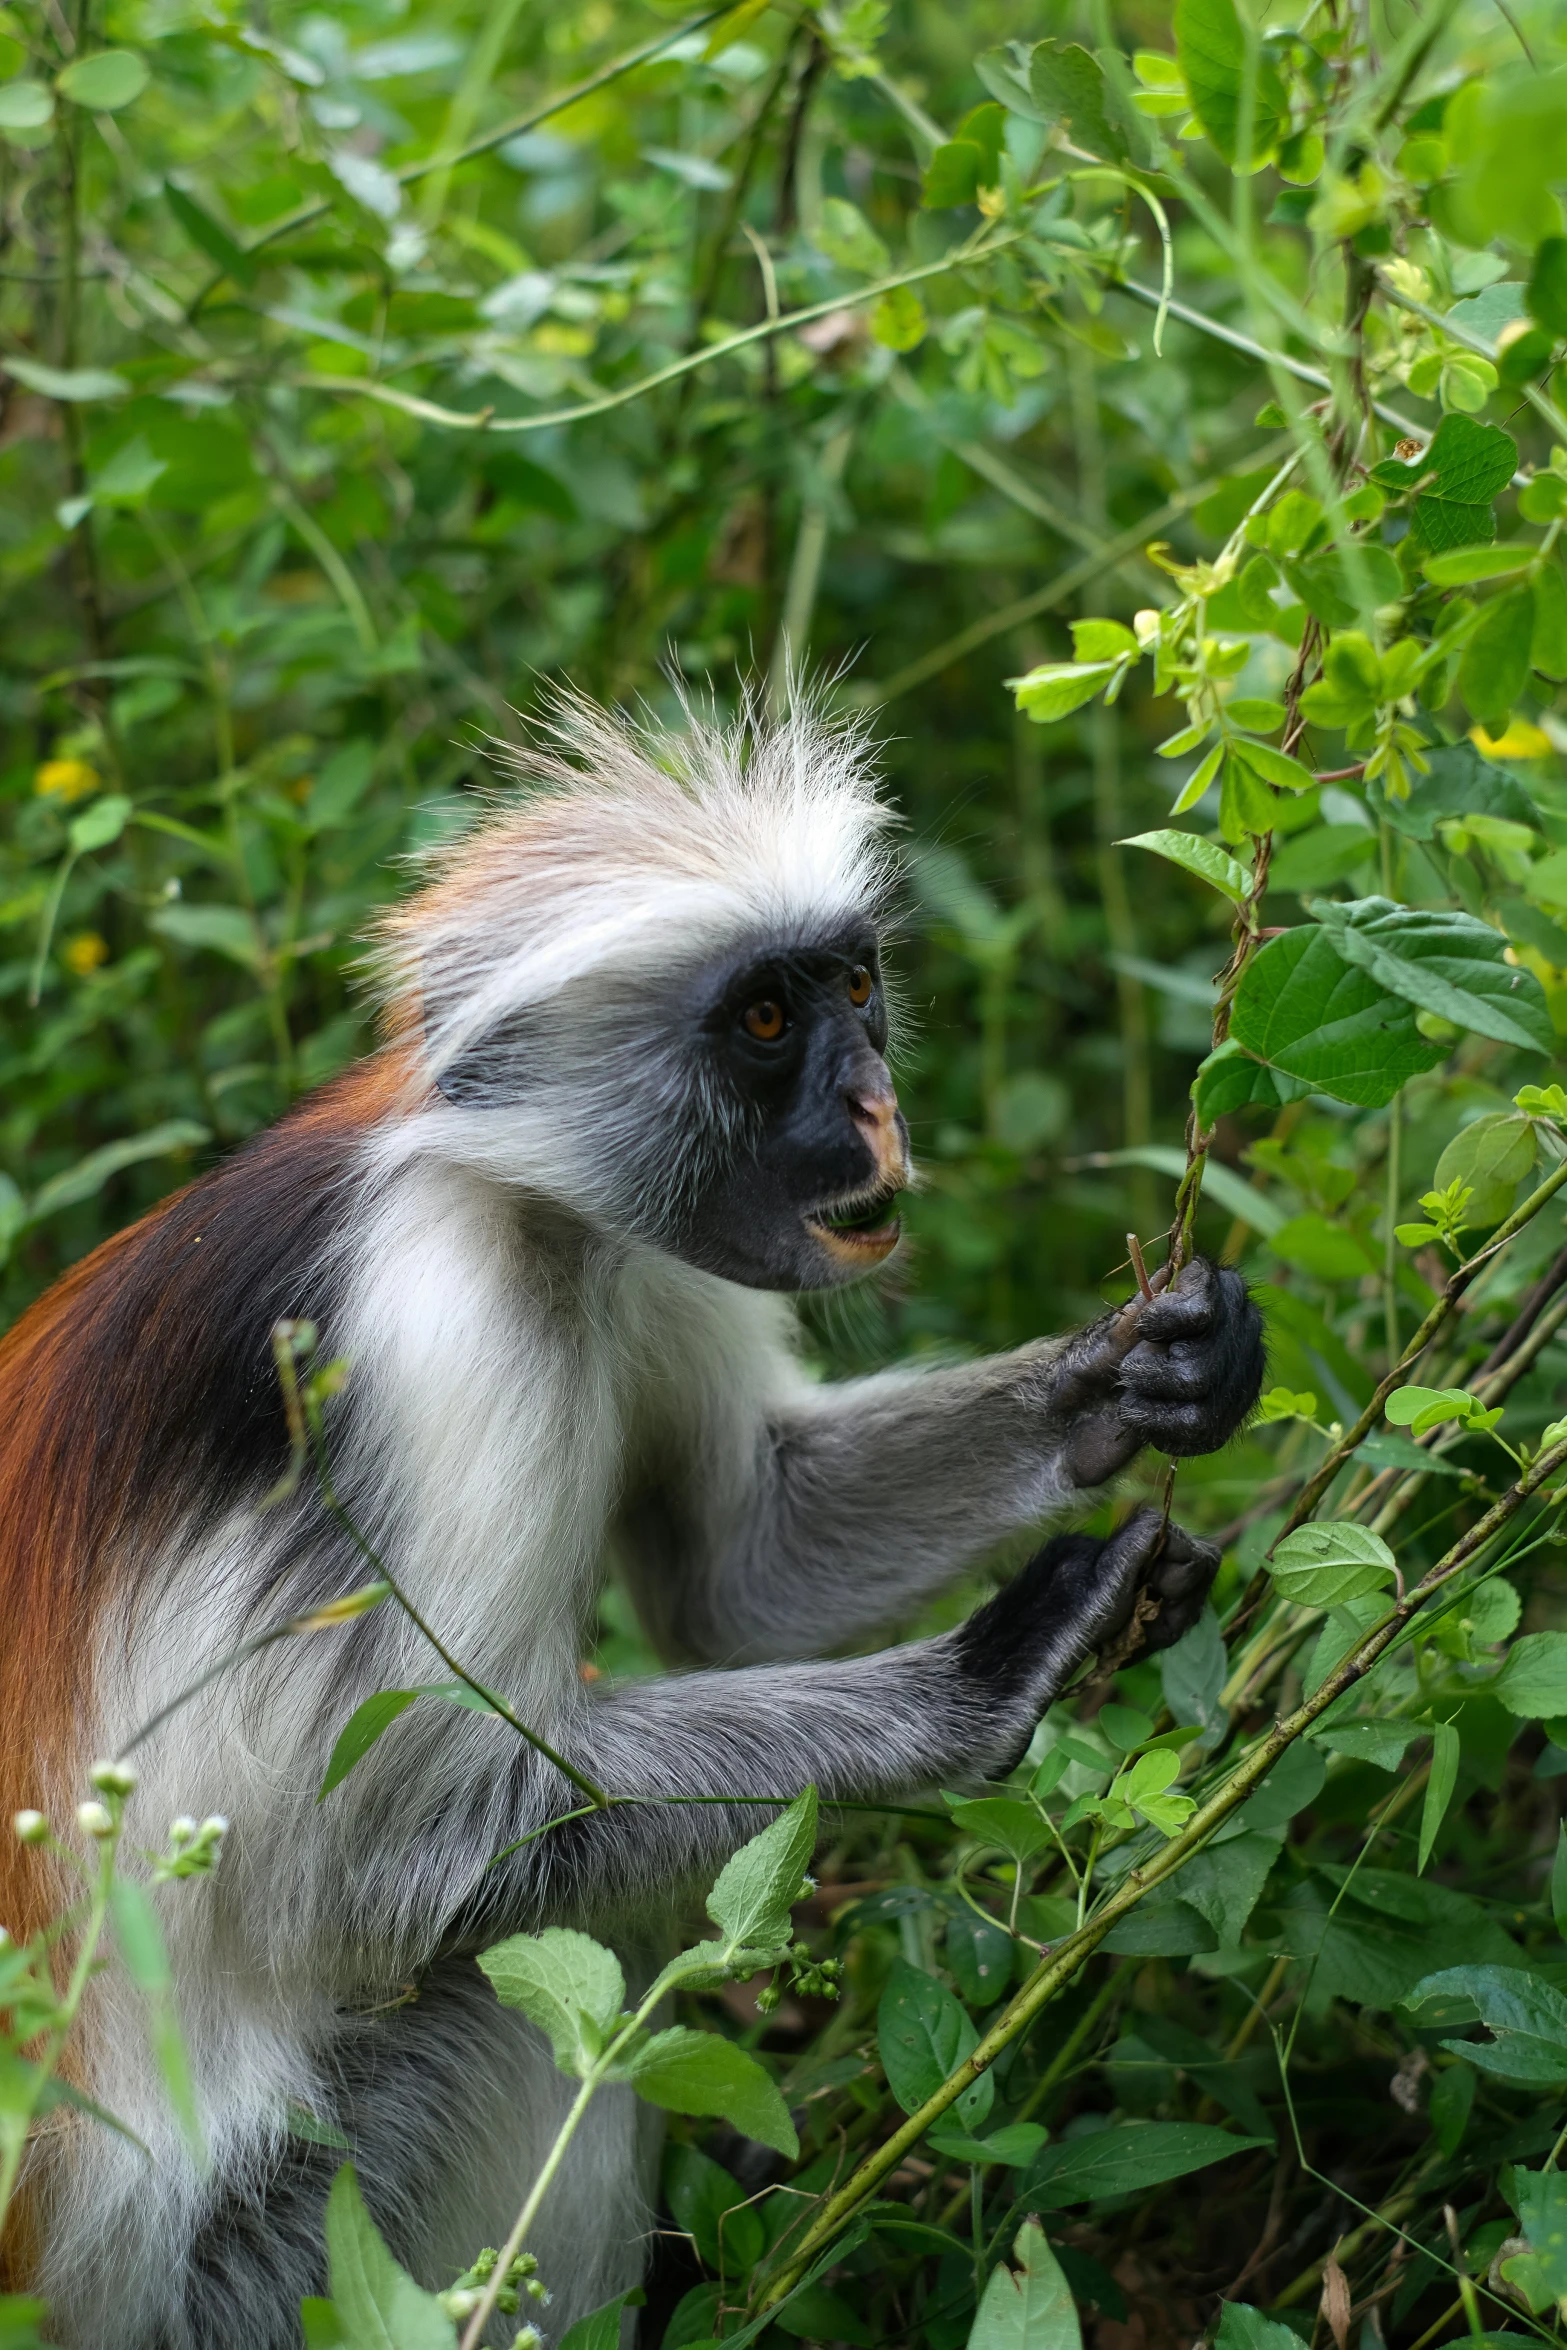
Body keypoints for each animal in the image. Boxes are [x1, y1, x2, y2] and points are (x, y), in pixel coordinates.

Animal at [0, 686, 1259, 2340]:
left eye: (855, 985)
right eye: (766, 1022)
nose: (876, 1106)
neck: (502, 1202)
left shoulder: (649, 1245)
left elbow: (740, 1568)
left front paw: (1136, 1377)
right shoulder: (430, 1333)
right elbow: (373, 1870)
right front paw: (991, 1673)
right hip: (249, 2270)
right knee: (533, 1987)